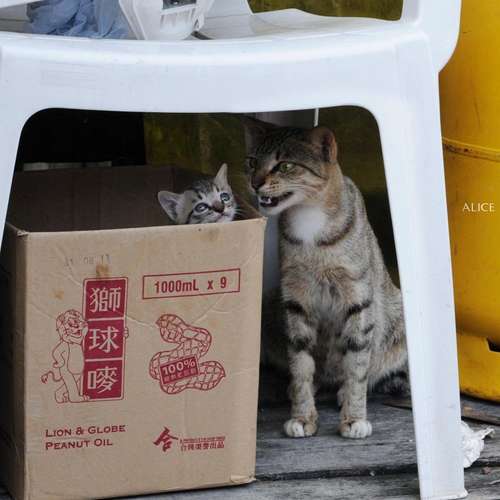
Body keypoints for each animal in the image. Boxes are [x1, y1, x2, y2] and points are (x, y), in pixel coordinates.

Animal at [243, 117, 408, 440]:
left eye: (284, 165)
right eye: (252, 161)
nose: (255, 182)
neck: (310, 220)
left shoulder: (357, 297)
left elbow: (357, 365)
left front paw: (354, 418)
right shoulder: (295, 299)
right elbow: (301, 366)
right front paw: (302, 416)